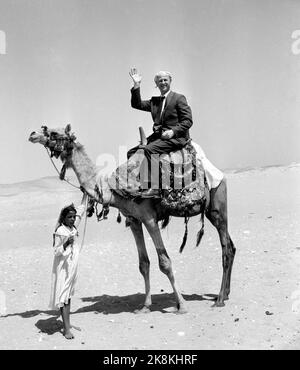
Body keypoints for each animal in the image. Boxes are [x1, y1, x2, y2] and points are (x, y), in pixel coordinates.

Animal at [29, 125, 237, 312]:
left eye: (54, 132)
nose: (33, 134)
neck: (113, 188)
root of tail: (217, 171)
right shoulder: (134, 220)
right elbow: (143, 264)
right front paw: (145, 306)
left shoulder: (149, 219)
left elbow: (165, 263)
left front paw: (182, 305)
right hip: (211, 212)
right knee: (232, 247)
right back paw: (225, 294)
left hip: (218, 205)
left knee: (226, 248)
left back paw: (219, 299)